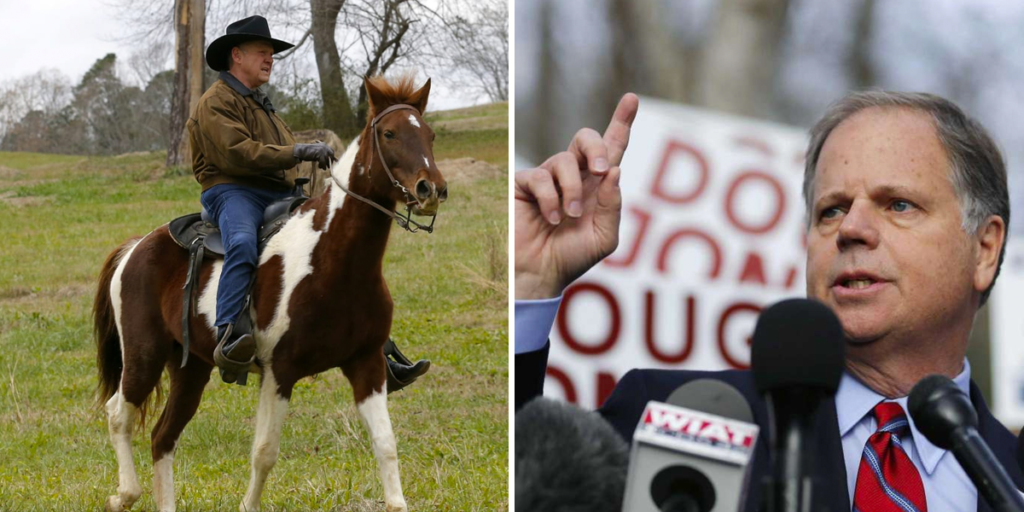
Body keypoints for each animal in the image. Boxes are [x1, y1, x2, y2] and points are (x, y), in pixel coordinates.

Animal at [94, 75, 446, 512]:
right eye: (389, 133)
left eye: (429, 134)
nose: (431, 189)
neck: (336, 261)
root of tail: (135, 248)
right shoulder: (280, 370)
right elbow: (264, 452)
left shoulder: (367, 365)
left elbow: (386, 444)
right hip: (143, 357)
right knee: (118, 415)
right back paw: (123, 493)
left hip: (191, 369)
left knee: (163, 437)